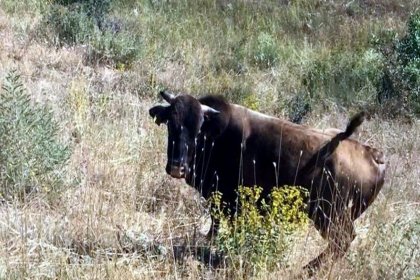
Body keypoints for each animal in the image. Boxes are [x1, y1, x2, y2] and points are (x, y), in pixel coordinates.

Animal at [149, 91, 386, 272]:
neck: (218, 135)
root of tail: (372, 154)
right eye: (171, 123)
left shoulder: (230, 201)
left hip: (330, 216)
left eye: (198, 129)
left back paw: (307, 269)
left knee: (342, 241)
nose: (177, 167)